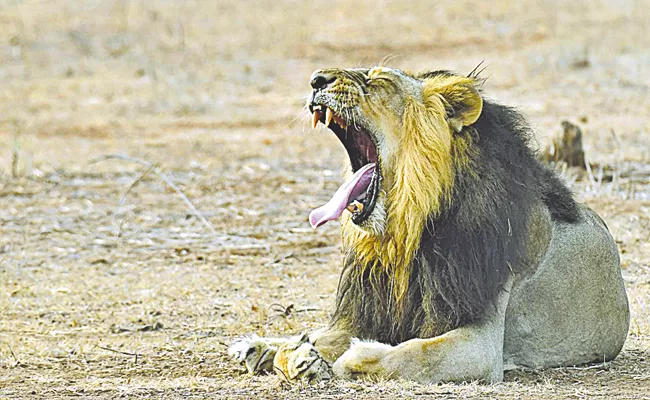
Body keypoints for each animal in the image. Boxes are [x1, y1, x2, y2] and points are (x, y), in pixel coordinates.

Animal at [229, 66, 628, 384]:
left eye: (381, 82)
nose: (315, 80)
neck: (405, 233)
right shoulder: (374, 308)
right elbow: (323, 336)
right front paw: (291, 352)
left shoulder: (482, 345)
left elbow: (415, 354)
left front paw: (352, 357)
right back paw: (257, 348)